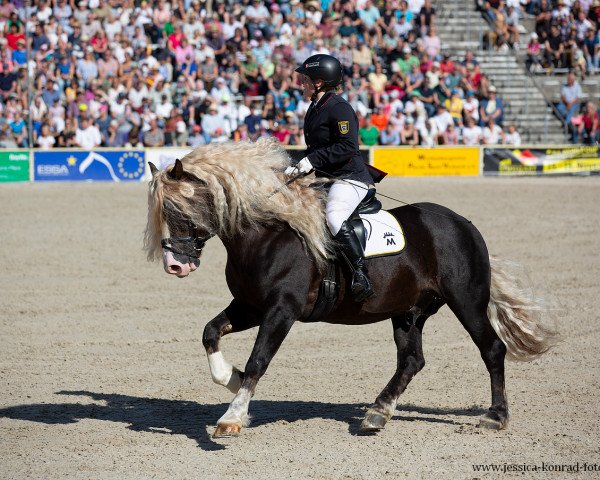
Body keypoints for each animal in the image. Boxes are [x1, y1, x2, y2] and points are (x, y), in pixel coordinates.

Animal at [144, 137, 556, 436]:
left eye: (178, 210)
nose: (175, 265)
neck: (268, 233)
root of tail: (465, 225)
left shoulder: (282, 309)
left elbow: (258, 359)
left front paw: (232, 416)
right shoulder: (250, 305)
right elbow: (210, 331)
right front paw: (230, 379)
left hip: (466, 302)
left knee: (492, 349)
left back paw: (495, 416)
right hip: (408, 311)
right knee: (411, 360)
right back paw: (377, 413)